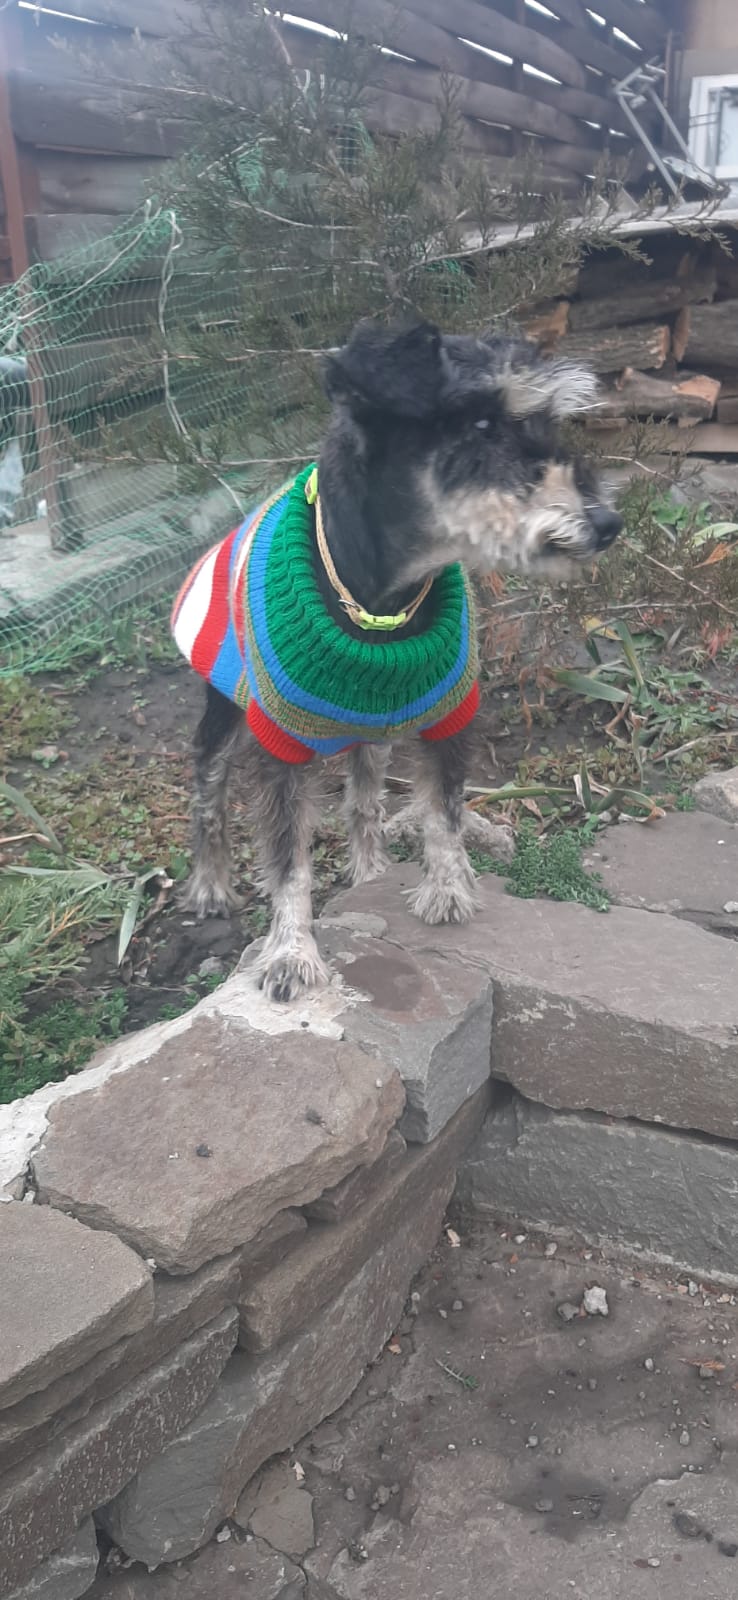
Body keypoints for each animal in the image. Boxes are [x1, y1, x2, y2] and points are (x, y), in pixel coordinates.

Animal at [172, 319, 620, 1003]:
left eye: (549, 421)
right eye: (480, 424)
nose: (608, 521)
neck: (381, 606)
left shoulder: (450, 721)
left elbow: (444, 811)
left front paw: (447, 888)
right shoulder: (279, 751)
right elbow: (288, 859)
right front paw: (291, 952)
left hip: (372, 730)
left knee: (363, 798)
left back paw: (370, 868)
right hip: (224, 713)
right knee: (208, 789)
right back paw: (210, 883)